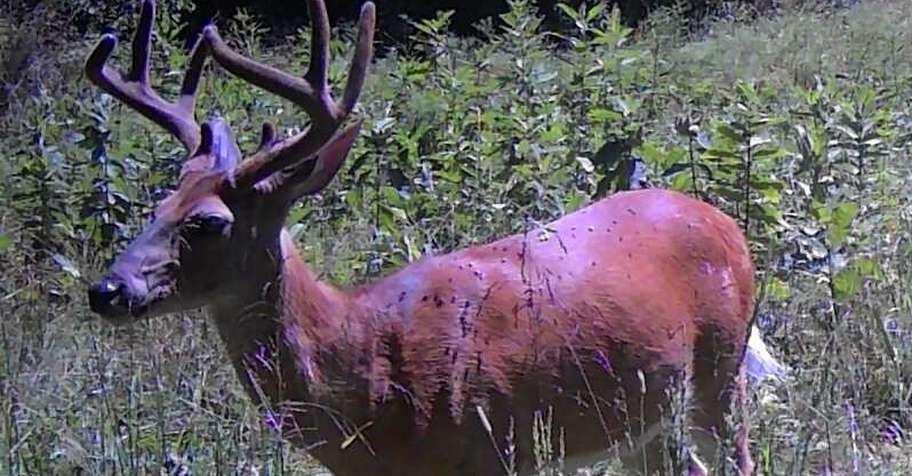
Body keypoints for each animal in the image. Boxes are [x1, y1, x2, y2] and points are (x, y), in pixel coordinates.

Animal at [84, 0, 784, 474]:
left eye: (208, 221)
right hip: (646, 410)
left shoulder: (495, 449)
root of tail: (723, 220)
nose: (106, 290)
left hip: (721, 369)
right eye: (157, 206)